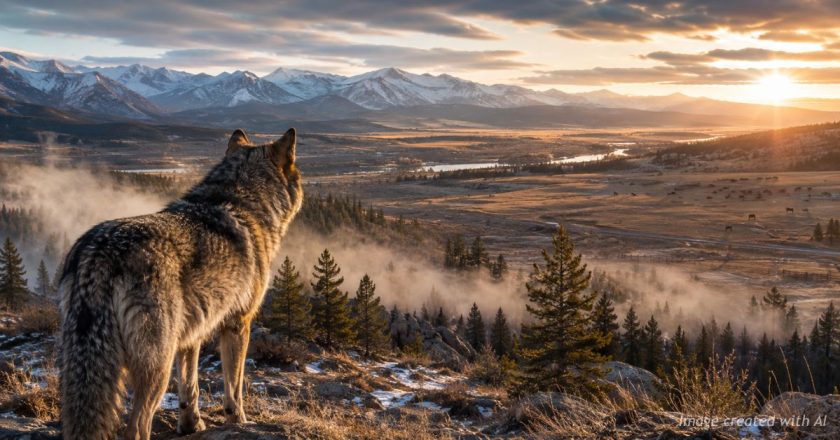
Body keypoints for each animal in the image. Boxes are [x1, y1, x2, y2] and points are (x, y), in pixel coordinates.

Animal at [58, 128, 302, 440]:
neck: (242, 203)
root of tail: (99, 253)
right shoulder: (238, 324)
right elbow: (234, 389)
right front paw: (240, 422)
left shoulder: (192, 334)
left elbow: (190, 387)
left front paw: (190, 425)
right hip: (157, 367)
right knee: (137, 426)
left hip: (79, 366)